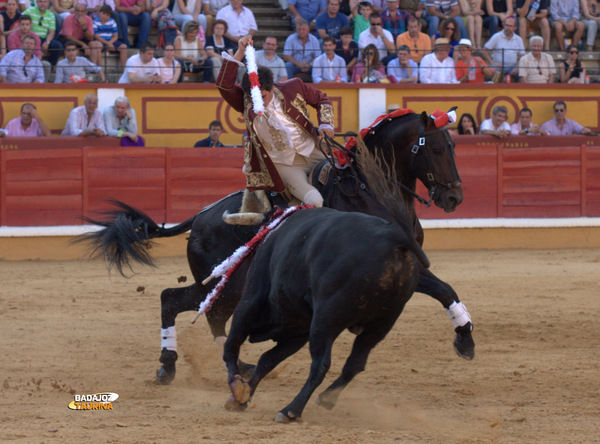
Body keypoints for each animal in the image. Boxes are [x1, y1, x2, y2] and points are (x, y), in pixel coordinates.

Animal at [79, 110, 474, 386]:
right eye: (436, 148)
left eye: (455, 146)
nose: (455, 197)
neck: (372, 191)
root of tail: (201, 216)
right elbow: (444, 289)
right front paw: (465, 339)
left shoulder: (409, 266)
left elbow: (446, 290)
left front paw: (465, 338)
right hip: (227, 284)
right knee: (186, 305)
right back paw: (187, 365)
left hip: (224, 284)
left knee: (187, 305)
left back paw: (201, 366)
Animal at [223, 206, 424, 422]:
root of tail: (394, 238)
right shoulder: (299, 331)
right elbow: (267, 360)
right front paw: (242, 398)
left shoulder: (249, 303)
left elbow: (231, 347)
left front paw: (237, 388)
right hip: (382, 323)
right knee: (356, 362)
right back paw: (327, 398)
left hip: (325, 319)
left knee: (321, 364)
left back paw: (291, 410)